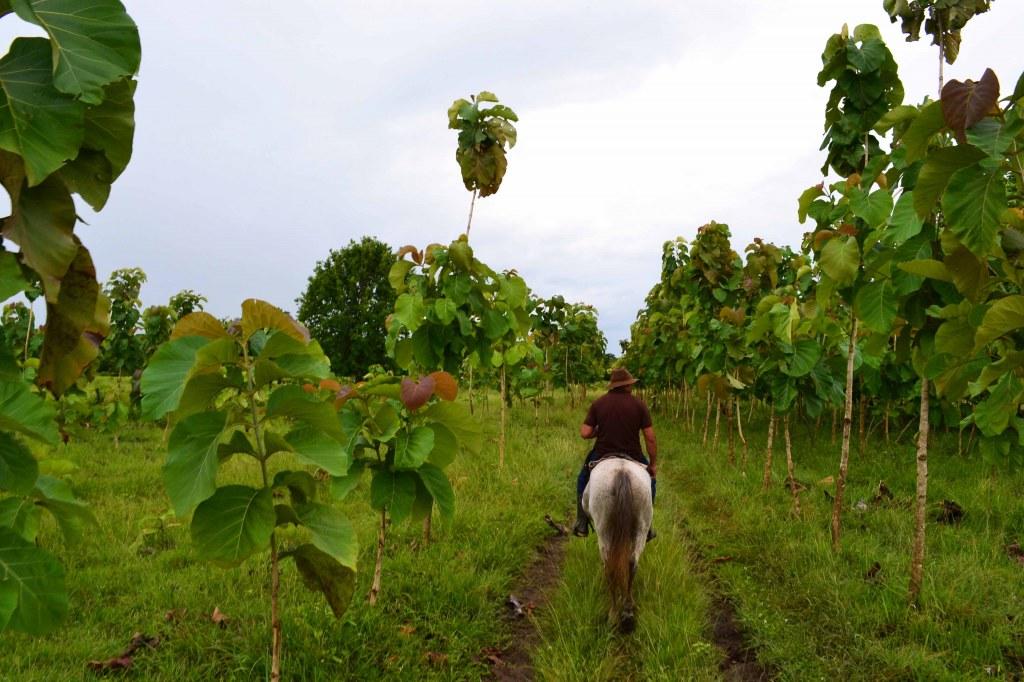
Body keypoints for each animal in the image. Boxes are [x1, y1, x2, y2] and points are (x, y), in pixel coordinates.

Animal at [581, 454, 651, 630]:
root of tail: (622, 473)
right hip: (641, 526)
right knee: (632, 563)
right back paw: (627, 611)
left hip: (604, 530)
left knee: (609, 567)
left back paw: (613, 614)